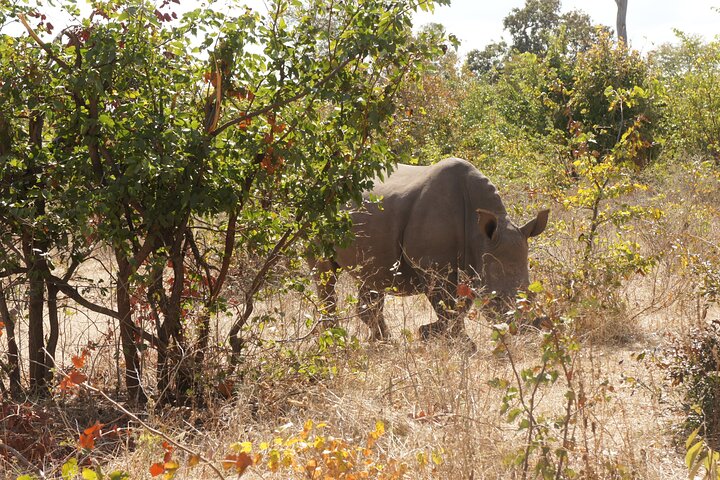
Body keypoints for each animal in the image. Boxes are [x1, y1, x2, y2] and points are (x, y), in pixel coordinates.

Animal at [312, 157, 549, 346]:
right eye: (496, 299)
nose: (526, 332)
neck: (479, 235)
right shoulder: (433, 267)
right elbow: (447, 307)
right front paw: (454, 343)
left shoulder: (472, 263)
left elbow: (459, 307)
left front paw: (432, 335)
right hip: (319, 212)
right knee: (324, 274)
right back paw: (335, 340)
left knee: (372, 276)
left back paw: (382, 342)